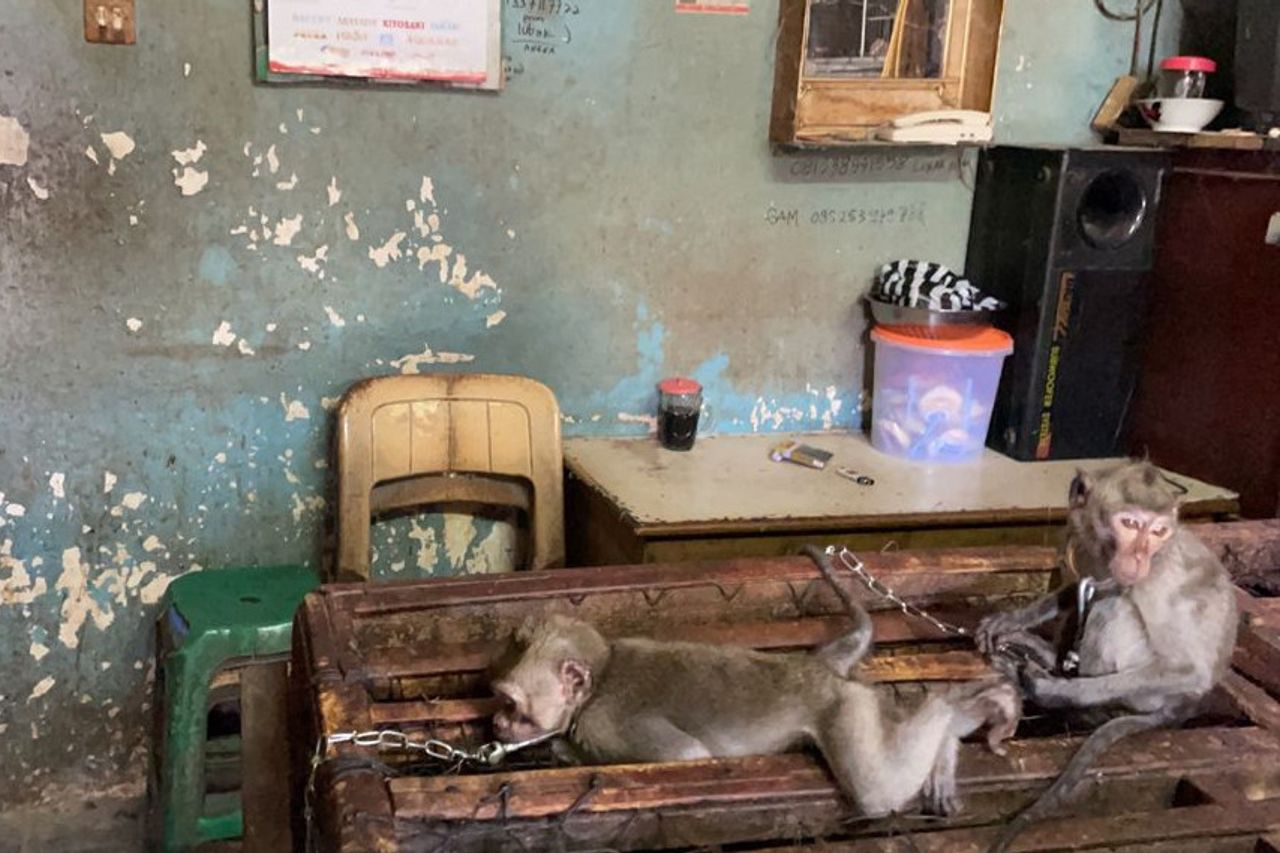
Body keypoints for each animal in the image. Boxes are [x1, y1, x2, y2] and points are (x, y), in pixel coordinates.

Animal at [488, 607, 1018, 814]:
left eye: (513, 706)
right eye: (499, 700)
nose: (495, 721)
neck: (602, 677)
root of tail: (822, 670)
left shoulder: (602, 725)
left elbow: (686, 756)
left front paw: (563, 750)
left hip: (843, 707)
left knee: (876, 790)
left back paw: (956, 705)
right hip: (858, 701)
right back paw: (949, 743)